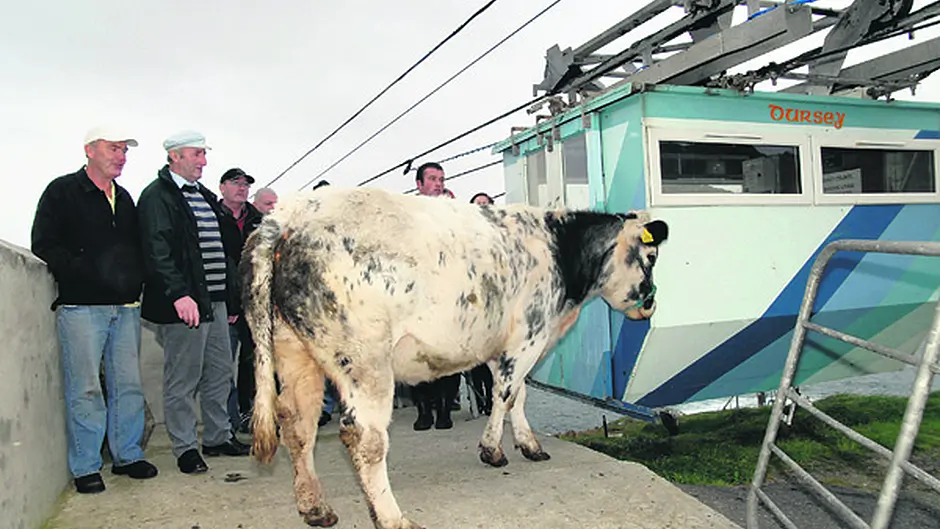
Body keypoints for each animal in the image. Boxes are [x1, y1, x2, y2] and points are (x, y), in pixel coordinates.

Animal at [241, 186, 669, 529]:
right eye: (650, 255)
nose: (651, 303)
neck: (559, 252)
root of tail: (289, 214)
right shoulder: (528, 336)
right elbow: (506, 394)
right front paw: (493, 449)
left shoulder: (504, 346)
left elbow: (517, 394)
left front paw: (528, 445)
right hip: (366, 362)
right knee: (364, 438)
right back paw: (393, 519)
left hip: (296, 353)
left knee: (297, 424)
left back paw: (315, 507)